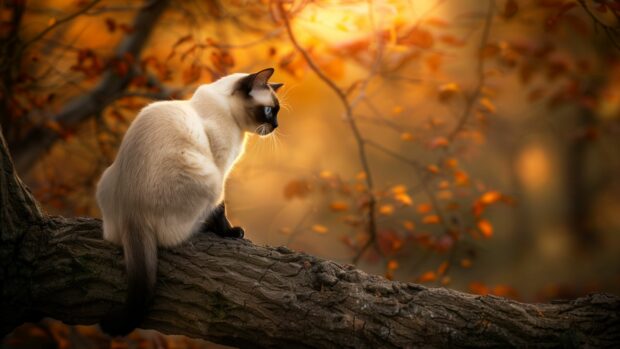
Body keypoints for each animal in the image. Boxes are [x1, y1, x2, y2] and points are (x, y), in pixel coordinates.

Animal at [96, 67, 284, 334]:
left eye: (277, 112)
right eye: (270, 111)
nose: (276, 125)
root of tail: (133, 214)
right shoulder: (221, 170)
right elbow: (221, 211)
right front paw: (231, 233)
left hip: (107, 178)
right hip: (209, 178)